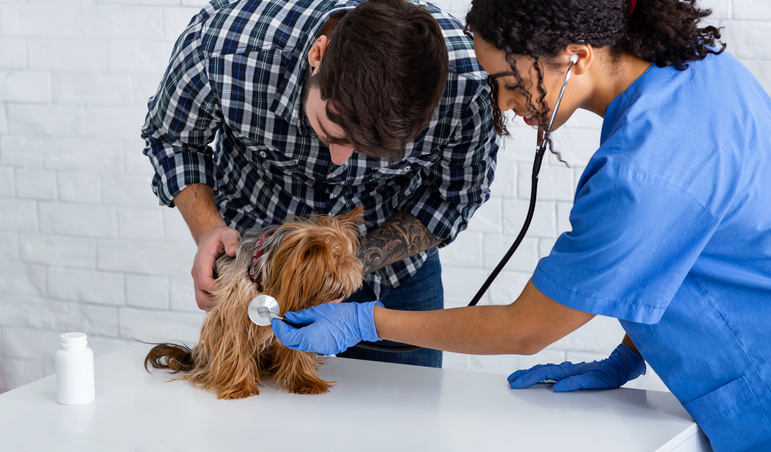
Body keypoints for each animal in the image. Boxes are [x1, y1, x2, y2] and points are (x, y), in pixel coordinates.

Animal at [146, 208, 368, 400]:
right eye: (332, 279)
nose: (341, 294)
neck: (263, 273)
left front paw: (305, 381)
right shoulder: (231, 315)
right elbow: (235, 347)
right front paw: (238, 387)